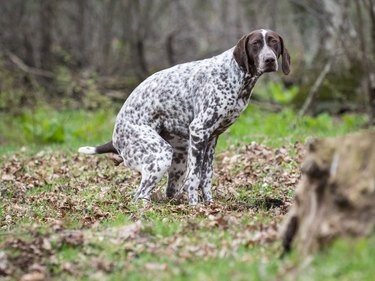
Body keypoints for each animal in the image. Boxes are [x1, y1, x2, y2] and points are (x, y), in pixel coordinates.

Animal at [78, 27, 290, 203]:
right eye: (255, 44)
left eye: (274, 42)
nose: (269, 60)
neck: (236, 75)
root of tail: (115, 137)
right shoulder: (199, 131)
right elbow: (195, 178)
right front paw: (195, 207)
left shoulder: (211, 139)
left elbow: (206, 178)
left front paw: (209, 205)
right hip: (160, 155)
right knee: (140, 196)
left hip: (179, 158)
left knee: (167, 192)